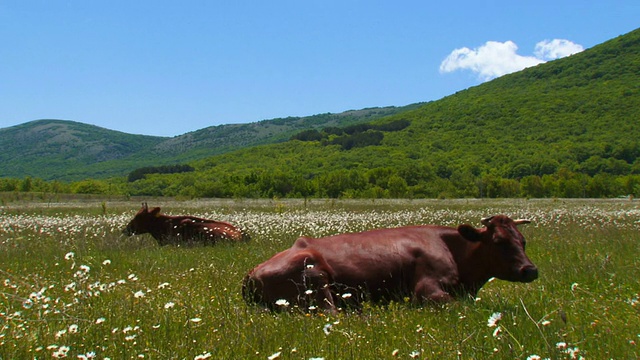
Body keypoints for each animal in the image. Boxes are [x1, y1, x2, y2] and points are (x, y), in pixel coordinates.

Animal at [242, 215, 536, 310]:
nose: (530, 270)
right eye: (498, 241)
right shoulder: (426, 289)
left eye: (523, 241)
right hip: (315, 278)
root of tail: (252, 272)